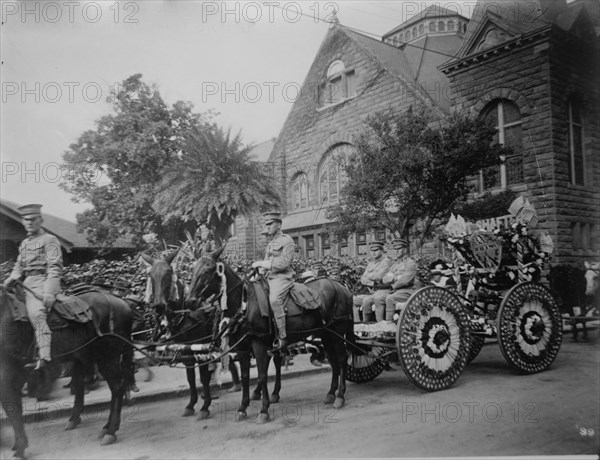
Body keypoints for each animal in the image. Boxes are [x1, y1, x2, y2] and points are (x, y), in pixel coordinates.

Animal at [0, 286, 135, 458]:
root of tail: (122, 302)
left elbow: (12, 409)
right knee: (86, 384)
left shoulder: (6, 376)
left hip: (107, 358)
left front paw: (20, 446)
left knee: (117, 387)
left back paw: (109, 431)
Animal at [142, 252, 219, 420]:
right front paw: (191, 404)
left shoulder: (201, 349)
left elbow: (203, 377)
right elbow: (190, 378)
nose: (159, 306)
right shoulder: (186, 349)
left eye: (168, 273)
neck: (184, 313)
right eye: (151, 275)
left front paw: (205, 406)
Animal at [188, 248, 356, 424]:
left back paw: (340, 396)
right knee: (333, 361)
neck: (245, 303)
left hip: (337, 332)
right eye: (193, 270)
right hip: (326, 335)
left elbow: (262, 375)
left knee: (342, 358)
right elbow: (246, 376)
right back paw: (331, 393)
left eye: (207, 271)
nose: (190, 301)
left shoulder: (259, 344)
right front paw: (243, 408)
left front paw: (264, 409)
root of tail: (342, 288)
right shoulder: (242, 348)